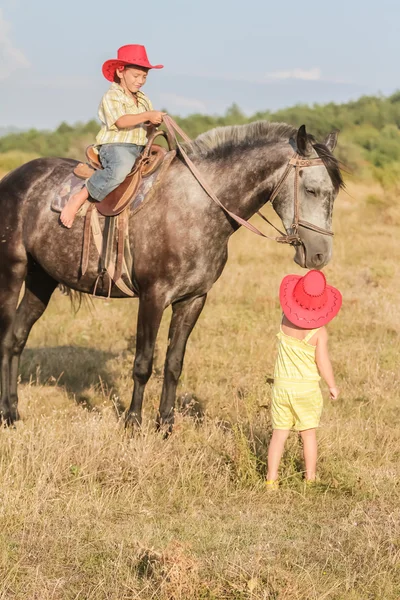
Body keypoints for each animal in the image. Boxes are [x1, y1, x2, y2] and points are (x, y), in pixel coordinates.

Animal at [0, 120, 344, 426]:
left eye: (334, 194)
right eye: (311, 190)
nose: (321, 255)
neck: (199, 208)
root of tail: (12, 179)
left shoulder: (193, 299)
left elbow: (173, 363)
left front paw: (165, 423)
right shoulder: (153, 297)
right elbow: (143, 363)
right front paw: (133, 422)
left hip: (41, 280)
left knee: (16, 339)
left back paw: (15, 411)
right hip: (12, 273)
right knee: (6, 338)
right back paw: (6, 414)